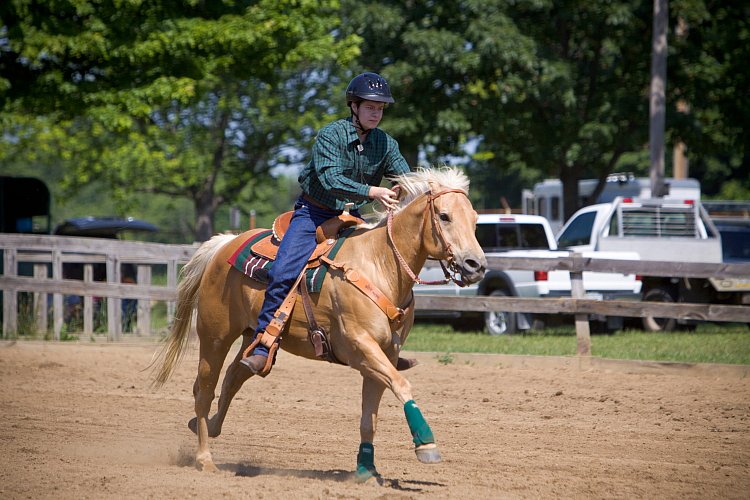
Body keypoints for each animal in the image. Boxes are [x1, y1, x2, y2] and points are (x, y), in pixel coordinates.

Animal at [153, 167, 488, 480]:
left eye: (474, 219)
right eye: (444, 216)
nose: (476, 265)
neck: (379, 265)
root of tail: (223, 245)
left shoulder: (385, 354)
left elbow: (370, 417)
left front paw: (366, 470)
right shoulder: (360, 346)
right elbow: (401, 384)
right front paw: (426, 445)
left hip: (253, 337)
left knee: (235, 376)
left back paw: (208, 425)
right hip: (215, 335)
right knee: (204, 389)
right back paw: (204, 458)